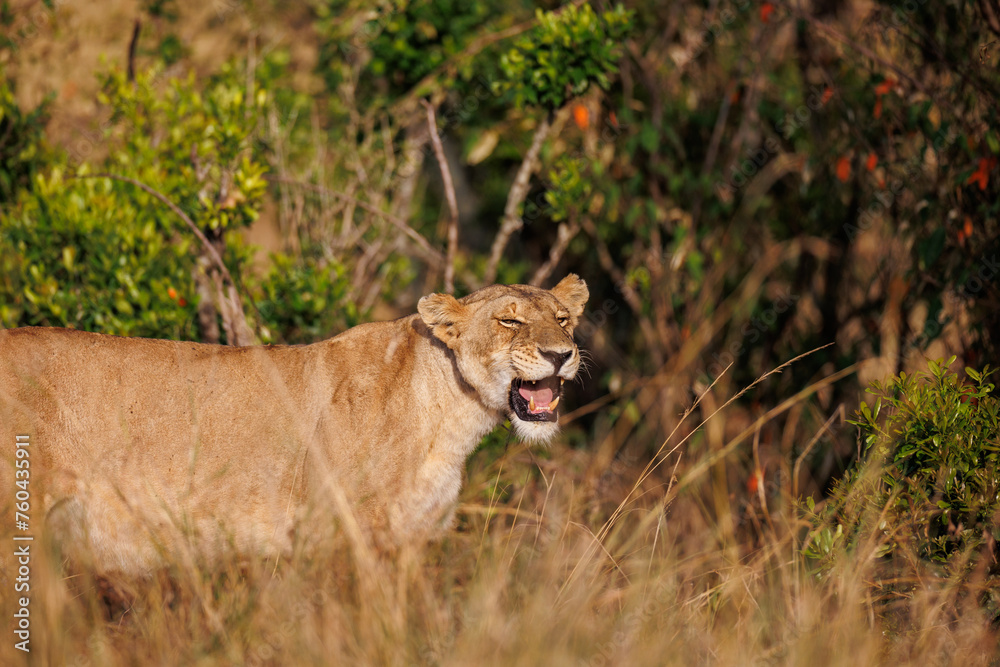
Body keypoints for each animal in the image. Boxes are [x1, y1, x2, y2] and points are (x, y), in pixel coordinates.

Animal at [0, 275, 588, 574]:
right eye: (508, 320)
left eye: (563, 320)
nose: (562, 354)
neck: (451, 421)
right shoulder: (349, 536)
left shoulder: (407, 544)